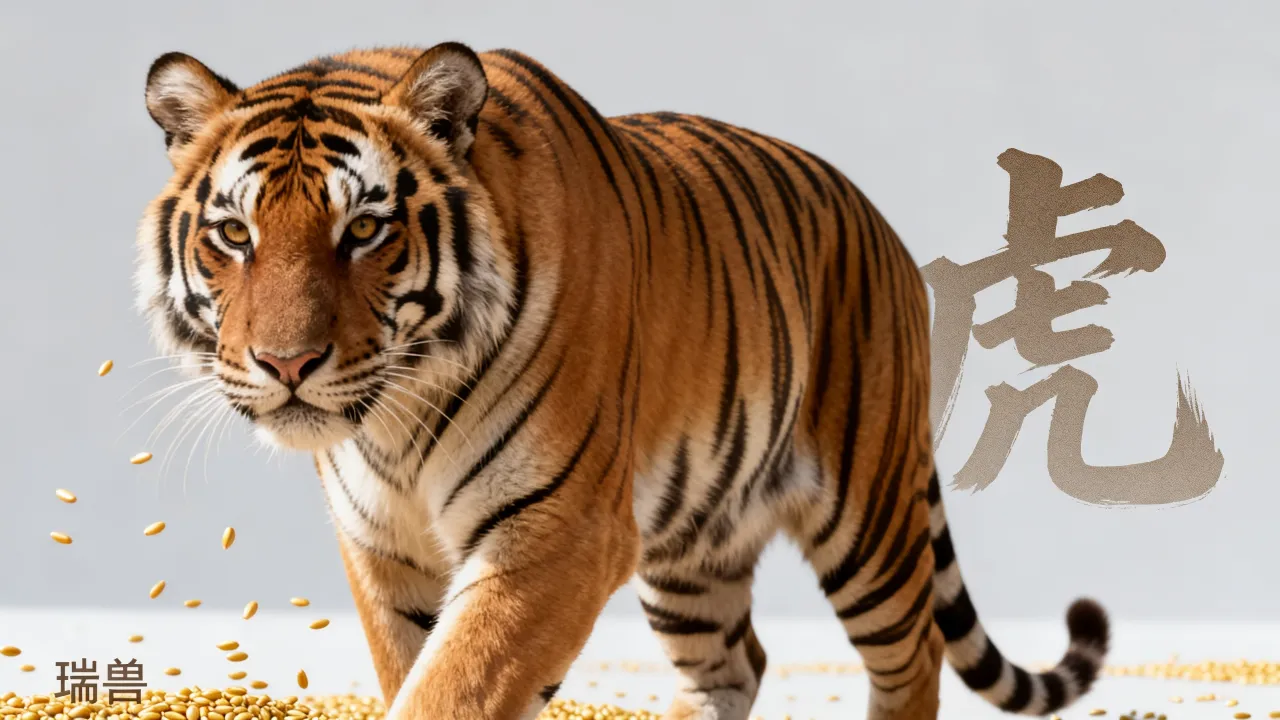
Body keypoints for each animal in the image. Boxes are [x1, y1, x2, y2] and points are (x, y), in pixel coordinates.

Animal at [134, 41, 1109, 720]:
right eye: (234, 234)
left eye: (365, 230)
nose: (286, 364)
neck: (398, 420)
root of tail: (883, 225)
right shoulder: (383, 548)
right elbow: (412, 668)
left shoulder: (557, 532)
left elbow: (454, 684)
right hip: (694, 548)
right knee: (733, 664)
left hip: (867, 513)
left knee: (912, 660)